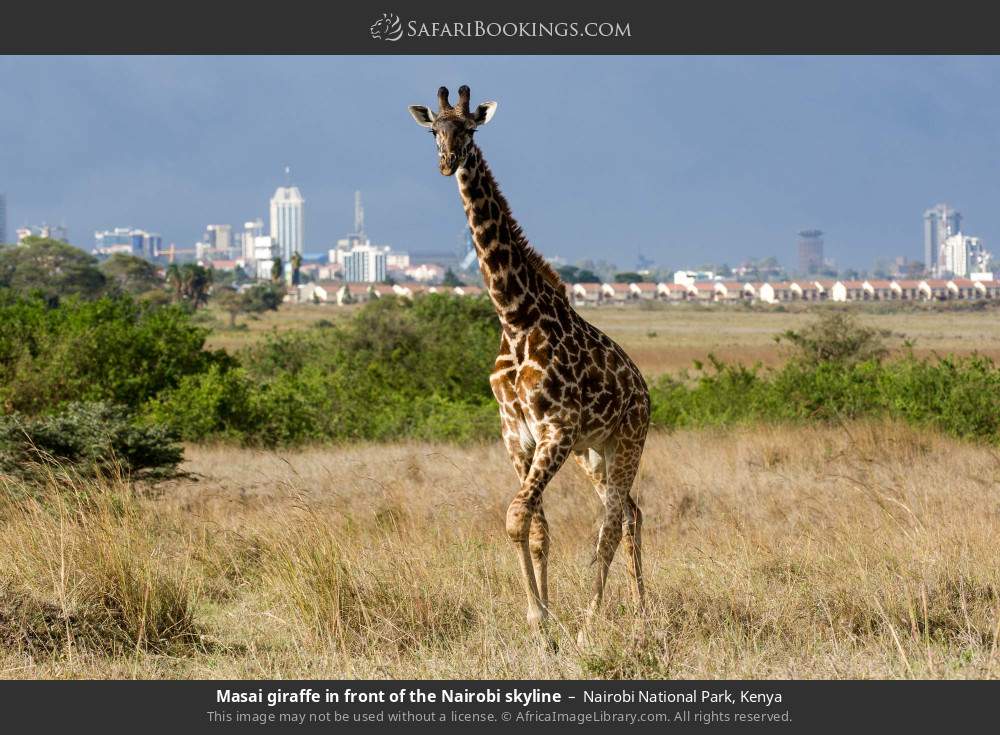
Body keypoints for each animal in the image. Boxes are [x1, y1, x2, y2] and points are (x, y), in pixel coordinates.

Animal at [408, 85, 650, 644]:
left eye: (469, 129)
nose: (447, 162)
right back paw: (643, 612)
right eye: (434, 131)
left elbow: (517, 517)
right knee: (630, 512)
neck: (515, 316)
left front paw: (545, 621)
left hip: (627, 440)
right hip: (595, 453)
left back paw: (592, 622)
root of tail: (645, 390)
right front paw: (544, 621)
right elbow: (536, 526)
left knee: (612, 522)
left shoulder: (556, 429)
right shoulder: (516, 433)